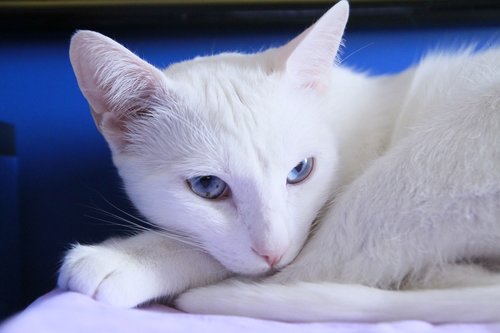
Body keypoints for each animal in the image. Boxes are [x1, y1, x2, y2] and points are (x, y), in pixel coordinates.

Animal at [57, 0, 500, 322]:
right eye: (207, 186)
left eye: (300, 171)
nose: (273, 250)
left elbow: (224, 258)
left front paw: (132, 258)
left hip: (411, 175)